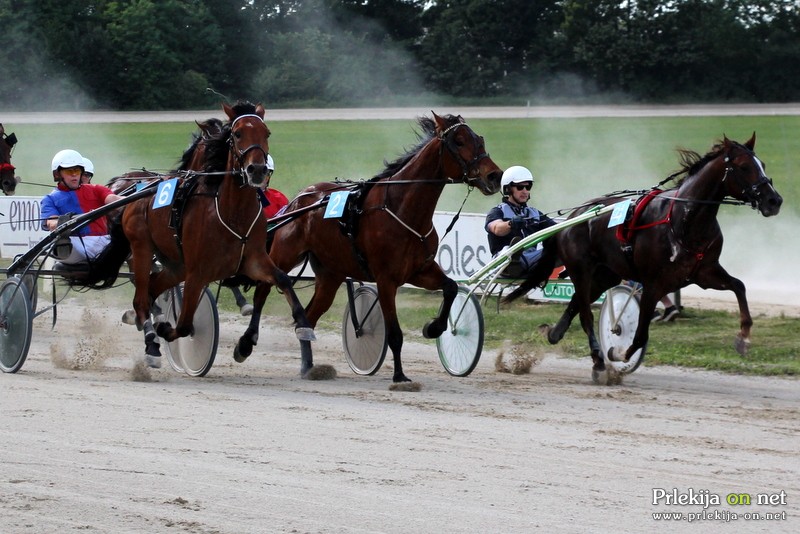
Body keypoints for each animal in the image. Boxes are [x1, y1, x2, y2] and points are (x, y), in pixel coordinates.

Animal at [71, 102, 316, 374]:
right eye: (237, 133)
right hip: (142, 248)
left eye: (267, 133)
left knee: (151, 290)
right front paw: (165, 329)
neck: (232, 213)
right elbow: (185, 324)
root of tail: (136, 193)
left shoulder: (254, 259)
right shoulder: (198, 272)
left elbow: (282, 280)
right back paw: (151, 343)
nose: (258, 170)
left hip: (175, 265)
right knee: (142, 298)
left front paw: (294, 330)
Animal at [234, 113, 504, 384]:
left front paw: (433, 327)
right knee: (263, 290)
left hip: (330, 274)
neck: (401, 208)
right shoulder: (386, 279)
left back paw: (308, 366)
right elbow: (394, 333)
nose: (495, 175)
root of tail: (297, 200)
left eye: (479, 139)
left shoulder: (419, 270)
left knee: (307, 317)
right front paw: (399, 376)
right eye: (459, 141)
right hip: (282, 254)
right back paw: (245, 344)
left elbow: (450, 287)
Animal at [506, 134, 780, 376]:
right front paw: (619, 353)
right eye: (744, 167)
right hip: (581, 270)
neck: (684, 219)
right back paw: (598, 360)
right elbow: (639, 335)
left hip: (606, 274)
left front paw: (743, 338)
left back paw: (554, 333)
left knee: (575, 304)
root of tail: (574, 216)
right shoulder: (653, 283)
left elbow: (739, 286)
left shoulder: (704, 272)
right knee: (585, 314)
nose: (774, 200)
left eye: (763, 165)